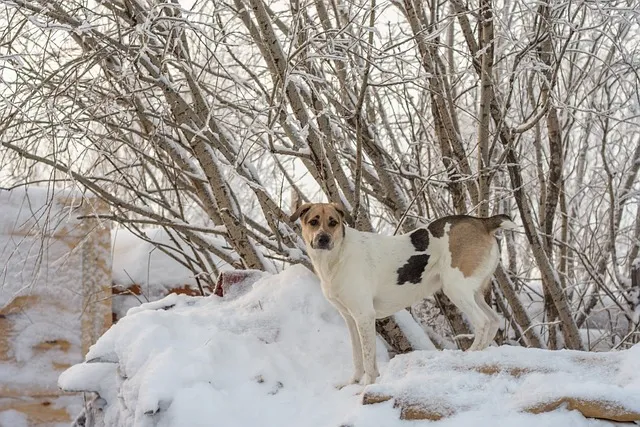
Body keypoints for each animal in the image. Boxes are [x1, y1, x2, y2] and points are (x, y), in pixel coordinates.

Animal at [292, 203, 516, 388]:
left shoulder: (364, 316)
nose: (323, 239)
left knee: (482, 322)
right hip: (474, 292)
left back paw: (470, 354)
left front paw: (367, 385)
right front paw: (353, 382)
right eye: (313, 222)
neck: (336, 256)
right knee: (494, 321)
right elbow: (358, 356)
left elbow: (368, 358)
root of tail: (483, 222)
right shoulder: (350, 319)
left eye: (333, 222)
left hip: (456, 288)